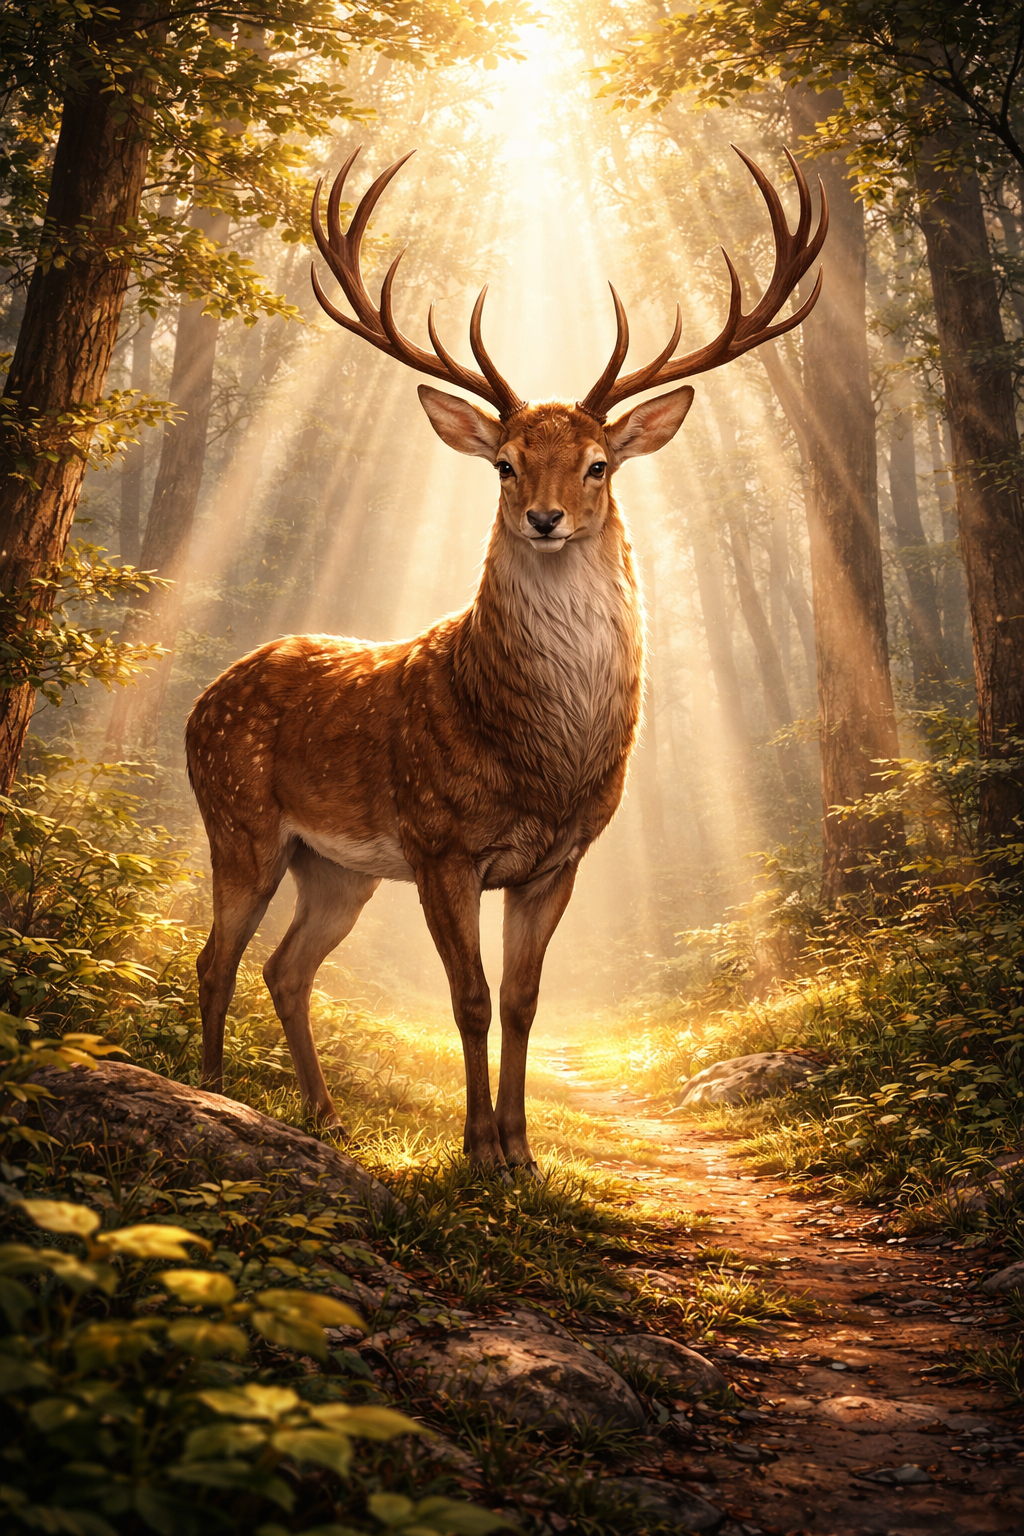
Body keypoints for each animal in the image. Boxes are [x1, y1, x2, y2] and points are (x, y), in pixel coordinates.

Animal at [186, 144, 826, 1175]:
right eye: (504, 463)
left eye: (599, 463)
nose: (545, 516)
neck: (542, 760)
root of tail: (207, 697)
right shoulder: (440, 841)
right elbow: (471, 998)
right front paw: (478, 1151)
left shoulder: (557, 859)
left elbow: (525, 1001)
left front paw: (522, 1155)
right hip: (237, 816)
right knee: (219, 955)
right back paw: (213, 1092)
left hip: (337, 867)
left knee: (285, 966)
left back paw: (325, 1115)